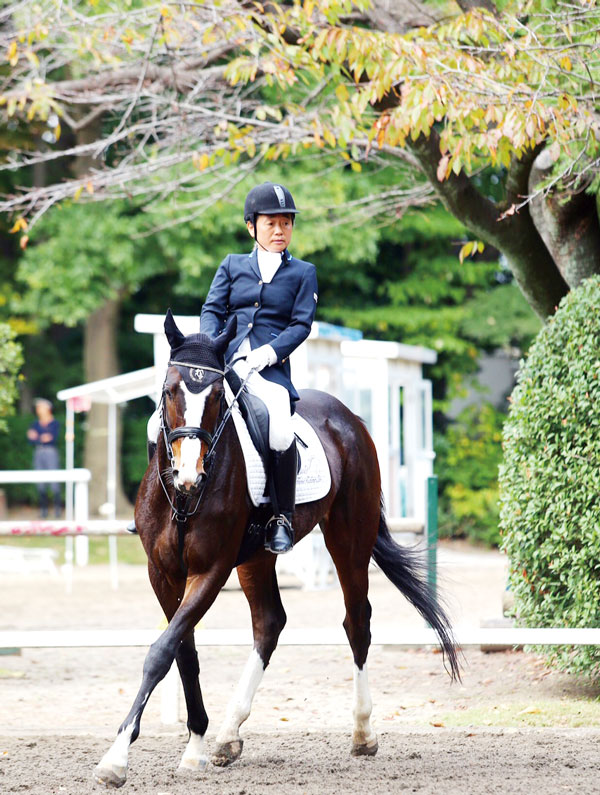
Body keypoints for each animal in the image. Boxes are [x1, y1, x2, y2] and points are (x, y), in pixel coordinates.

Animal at [94, 308, 460, 788]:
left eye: (217, 395)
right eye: (170, 389)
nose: (189, 474)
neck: (185, 498)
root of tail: (349, 417)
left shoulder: (210, 570)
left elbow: (160, 652)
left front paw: (116, 759)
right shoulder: (164, 574)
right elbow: (182, 651)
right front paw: (194, 746)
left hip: (349, 539)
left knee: (357, 621)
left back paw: (363, 732)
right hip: (257, 557)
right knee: (269, 622)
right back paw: (228, 736)